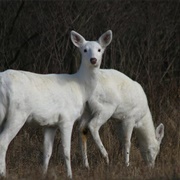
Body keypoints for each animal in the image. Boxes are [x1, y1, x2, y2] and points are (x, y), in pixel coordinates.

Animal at [0, 30, 112, 178]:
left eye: (99, 50)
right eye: (84, 50)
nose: (93, 60)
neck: (81, 88)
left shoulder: (50, 124)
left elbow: (48, 152)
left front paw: (43, 174)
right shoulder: (67, 118)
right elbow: (66, 151)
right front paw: (70, 175)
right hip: (17, 114)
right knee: (3, 142)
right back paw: (3, 174)